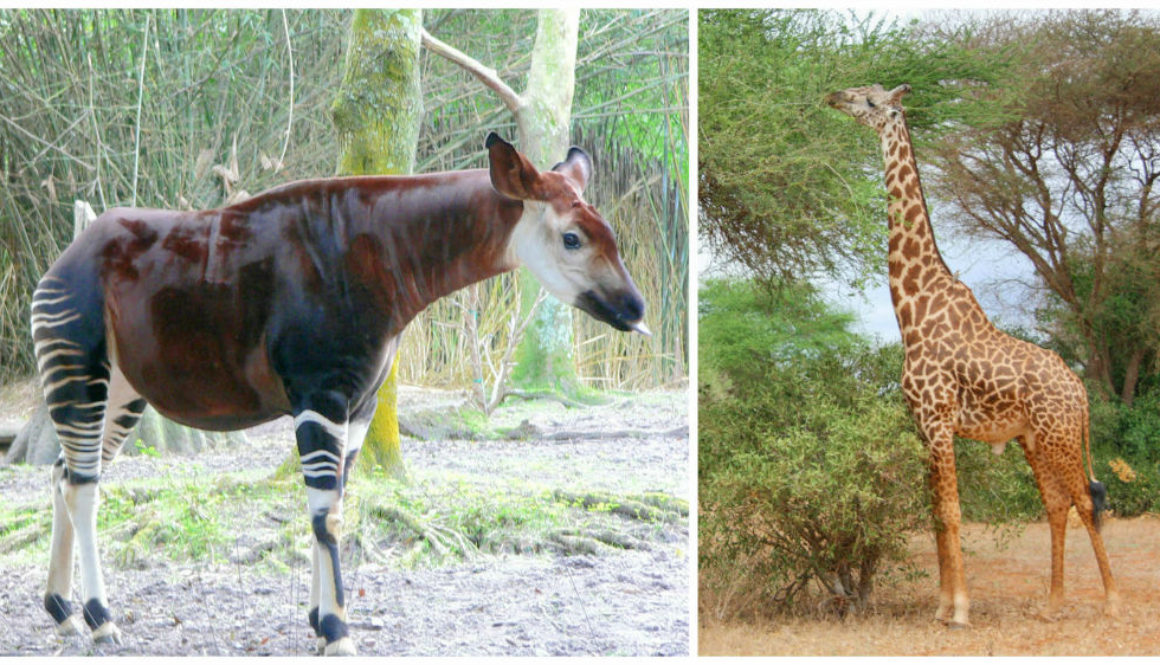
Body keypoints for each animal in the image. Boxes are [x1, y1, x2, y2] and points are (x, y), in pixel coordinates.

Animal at [826, 83, 1119, 627]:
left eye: (872, 103)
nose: (835, 96)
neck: (912, 308)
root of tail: (1081, 390)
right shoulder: (922, 424)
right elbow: (936, 515)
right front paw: (943, 606)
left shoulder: (940, 420)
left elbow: (952, 512)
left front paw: (960, 610)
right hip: (1034, 438)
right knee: (1056, 504)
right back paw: (1052, 603)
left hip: (1061, 435)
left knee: (1087, 502)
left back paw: (1111, 600)